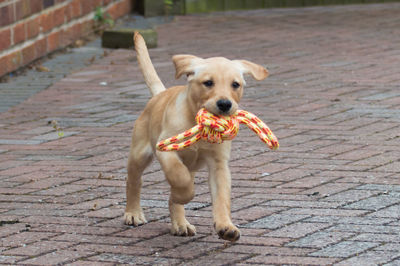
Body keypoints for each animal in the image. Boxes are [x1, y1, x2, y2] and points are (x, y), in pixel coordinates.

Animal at [125, 32, 268, 242]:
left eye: (235, 84)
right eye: (208, 83)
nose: (225, 104)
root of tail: (160, 94)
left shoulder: (219, 164)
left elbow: (222, 198)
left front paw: (226, 226)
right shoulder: (166, 151)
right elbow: (180, 178)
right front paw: (181, 194)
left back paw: (181, 224)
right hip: (139, 153)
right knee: (134, 181)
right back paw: (133, 213)